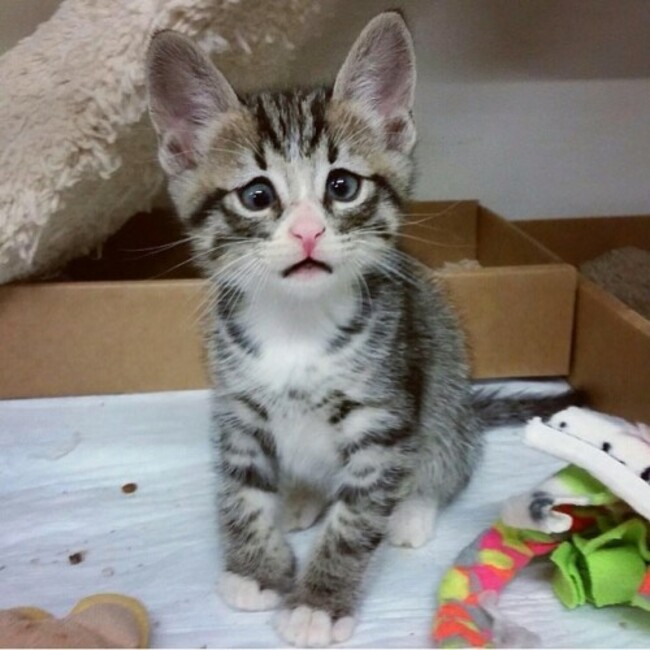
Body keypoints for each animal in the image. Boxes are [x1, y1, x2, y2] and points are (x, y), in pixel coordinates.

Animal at [146, 12, 568, 644]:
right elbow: (240, 490)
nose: (307, 232)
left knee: (451, 458)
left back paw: (413, 509)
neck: (296, 325)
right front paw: (256, 571)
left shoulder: (384, 415)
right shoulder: (238, 406)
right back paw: (298, 498)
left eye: (342, 186)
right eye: (257, 195)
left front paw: (318, 602)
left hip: (444, 387)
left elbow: (354, 518)